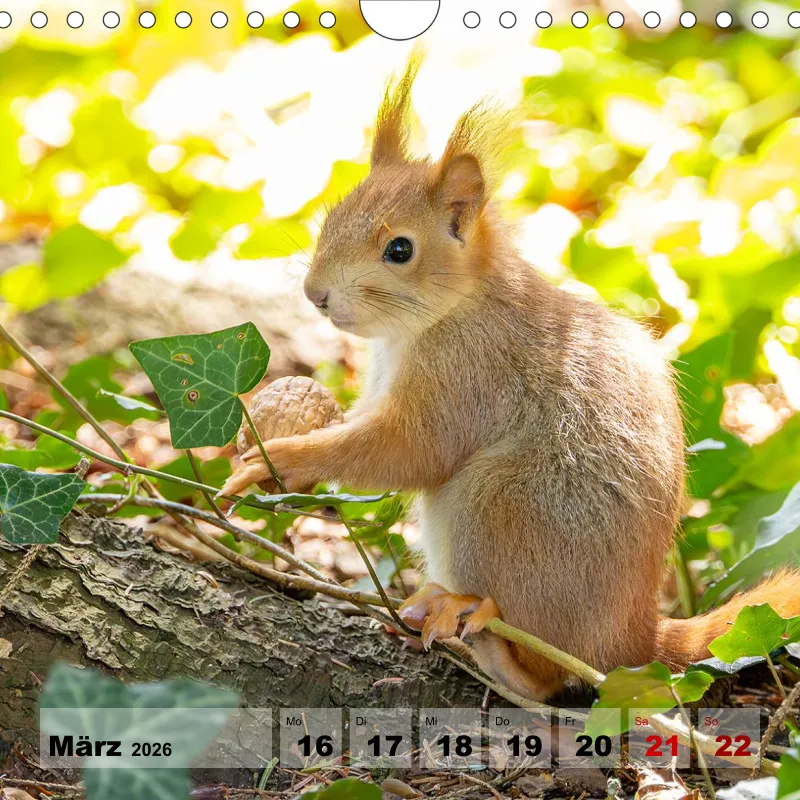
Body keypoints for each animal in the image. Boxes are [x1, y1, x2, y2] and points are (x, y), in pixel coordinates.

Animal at [248, 65, 800, 700]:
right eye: (331, 217)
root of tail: (635, 642)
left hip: (498, 505)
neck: (439, 317)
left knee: (548, 677)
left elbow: (410, 449)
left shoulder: (470, 373)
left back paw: (492, 646)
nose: (315, 294)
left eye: (399, 249)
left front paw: (283, 458)